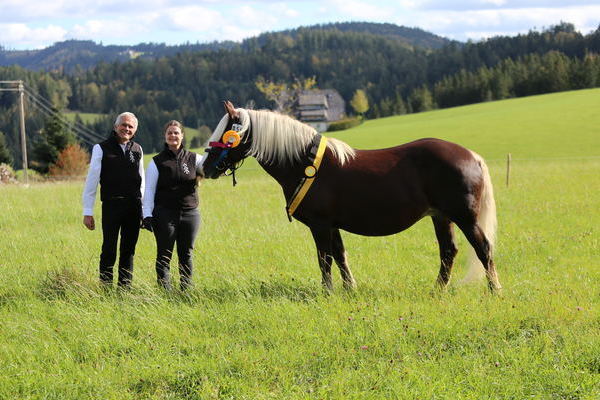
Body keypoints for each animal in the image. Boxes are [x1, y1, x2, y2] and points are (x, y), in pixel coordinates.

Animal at [202, 101, 502, 292]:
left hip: (464, 217)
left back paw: (494, 290)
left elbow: (324, 258)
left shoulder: (320, 225)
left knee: (483, 248)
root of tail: (471, 155)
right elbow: (340, 255)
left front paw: (327, 292)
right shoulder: (332, 225)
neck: (304, 163)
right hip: (441, 216)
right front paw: (349, 288)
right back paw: (437, 289)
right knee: (448, 251)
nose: (205, 167)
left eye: (227, 132)